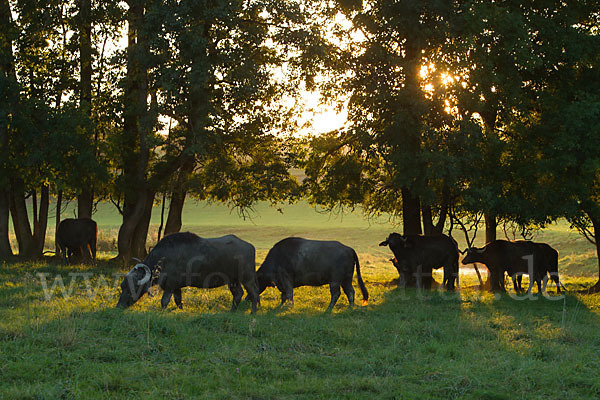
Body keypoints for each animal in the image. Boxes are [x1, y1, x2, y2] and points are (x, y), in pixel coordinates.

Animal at [116, 233, 258, 314]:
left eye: (133, 287)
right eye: (123, 286)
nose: (119, 306)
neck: (163, 261)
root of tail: (250, 247)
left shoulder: (170, 286)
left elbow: (164, 301)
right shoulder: (176, 287)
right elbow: (178, 300)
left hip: (247, 278)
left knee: (254, 294)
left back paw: (253, 312)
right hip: (233, 280)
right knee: (238, 294)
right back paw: (232, 311)